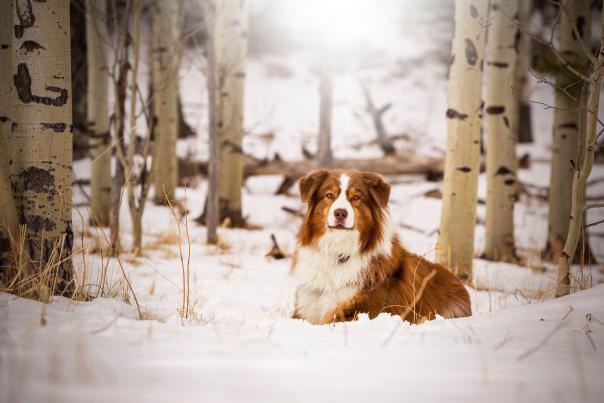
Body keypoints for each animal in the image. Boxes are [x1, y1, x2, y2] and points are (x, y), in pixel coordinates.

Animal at [292, 170, 472, 326]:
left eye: (356, 197)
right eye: (329, 195)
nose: (340, 213)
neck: (339, 250)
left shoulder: (360, 311)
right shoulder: (304, 308)